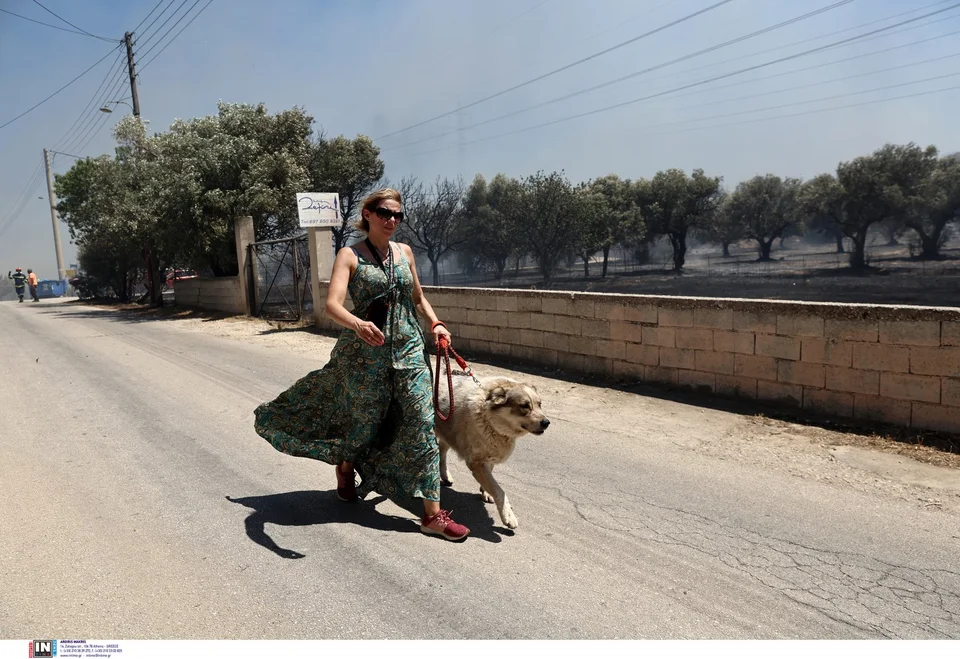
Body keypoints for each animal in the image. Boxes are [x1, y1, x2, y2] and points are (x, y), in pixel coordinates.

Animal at [434, 376, 548, 532]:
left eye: (539, 404)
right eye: (524, 406)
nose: (546, 422)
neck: (490, 419)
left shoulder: (490, 456)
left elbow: (491, 482)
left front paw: (486, 492)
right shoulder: (477, 463)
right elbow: (499, 491)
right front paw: (508, 515)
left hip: (448, 432)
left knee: (442, 449)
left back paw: (446, 476)